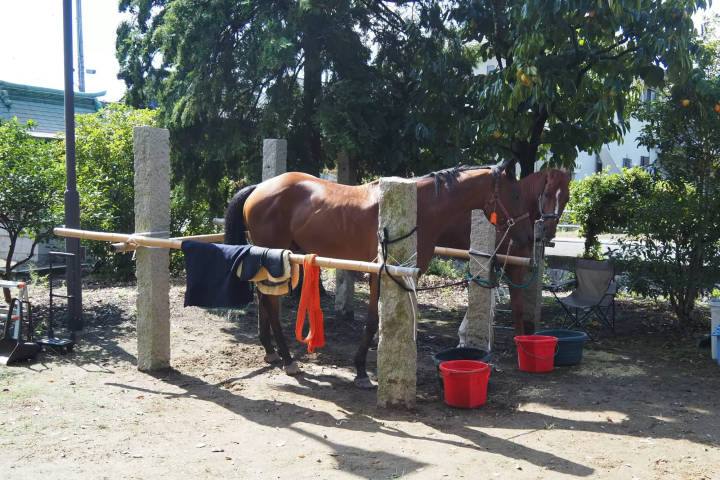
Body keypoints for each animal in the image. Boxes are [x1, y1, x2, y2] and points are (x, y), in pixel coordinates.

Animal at [225, 159, 534, 388]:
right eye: (516, 194)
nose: (527, 237)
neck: (420, 210)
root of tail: (259, 188)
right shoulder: (380, 273)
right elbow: (374, 321)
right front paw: (362, 371)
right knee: (269, 303)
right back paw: (288, 359)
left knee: (266, 300)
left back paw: (271, 351)